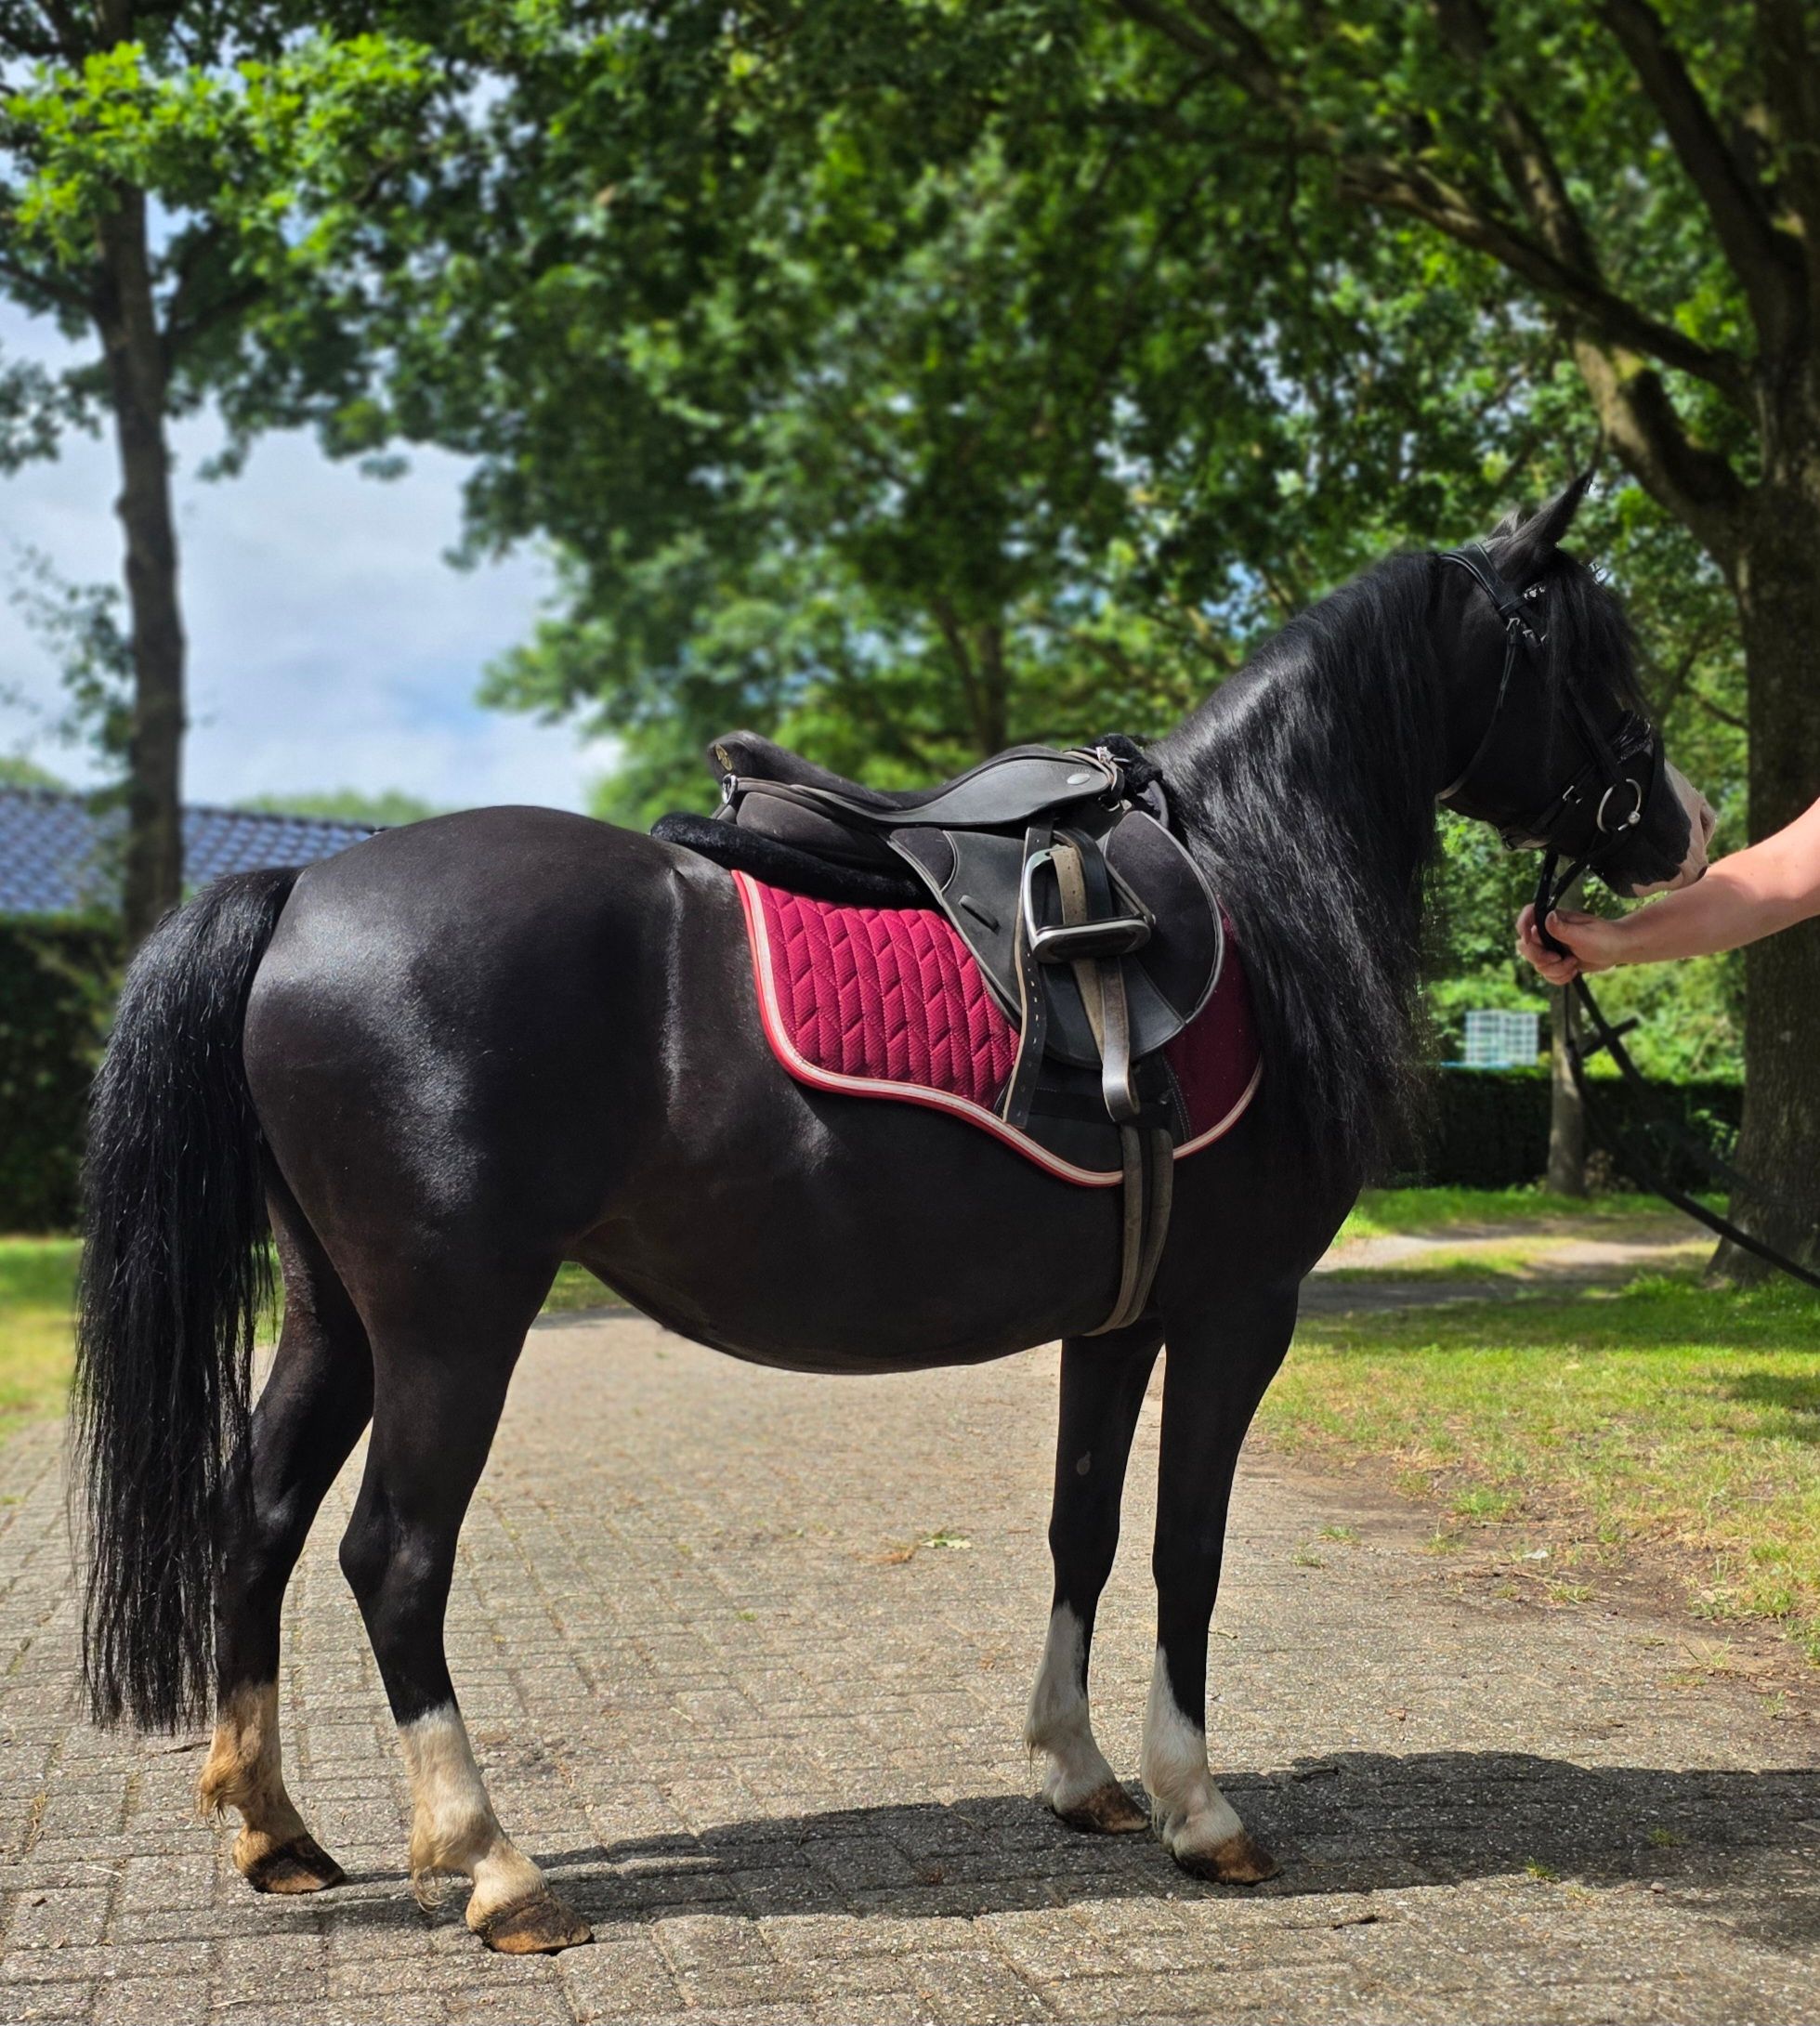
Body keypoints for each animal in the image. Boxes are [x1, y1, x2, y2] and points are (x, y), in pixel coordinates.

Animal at [72, 477, 1712, 1953]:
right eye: (1585, 663)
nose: (1683, 829)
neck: (1248, 888)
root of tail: (301, 891)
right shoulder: (1235, 1311)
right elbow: (1185, 1551)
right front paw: (1198, 1809)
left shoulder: (1116, 1320)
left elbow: (1080, 1526)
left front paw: (1079, 1773)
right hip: (452, 1318)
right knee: (392, 1558)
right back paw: (492, 1867)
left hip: (334, 1313)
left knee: (256, 1520)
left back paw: (276, 1832)